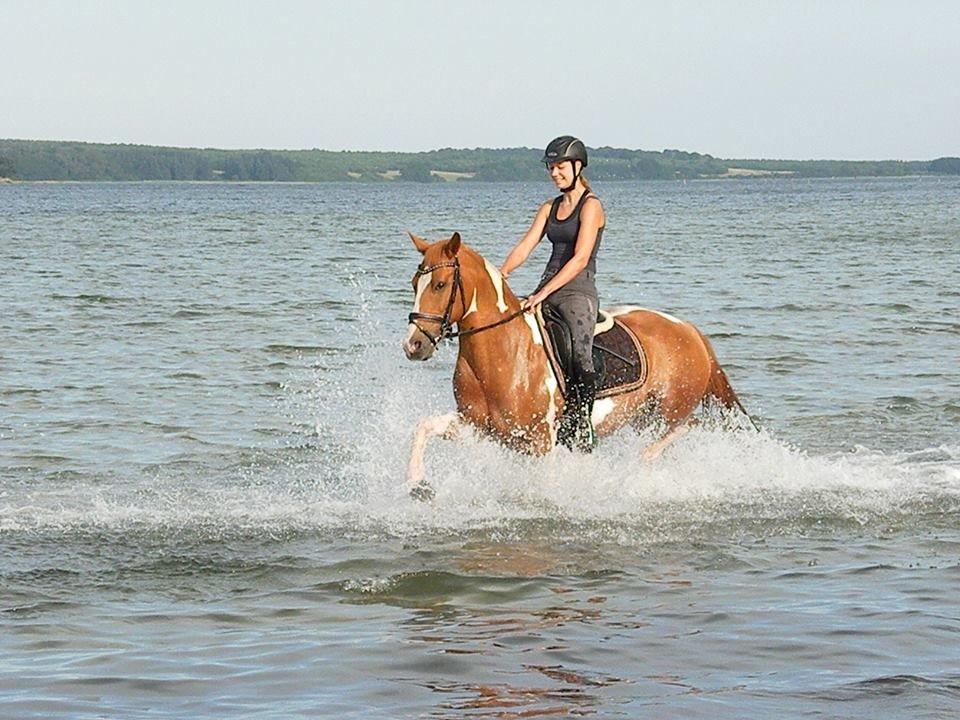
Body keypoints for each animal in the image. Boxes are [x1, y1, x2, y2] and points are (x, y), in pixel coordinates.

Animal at [402, 231, 748, 496]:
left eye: (440, 284)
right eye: (414, 283)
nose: (413, 345)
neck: (504, 352)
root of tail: (689, 329)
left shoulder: (541, 442)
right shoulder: (480, 427)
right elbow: (424, 426)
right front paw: (418, 483)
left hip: (669, 411)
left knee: (687, 427)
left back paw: (639, 464)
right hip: (644, 416)